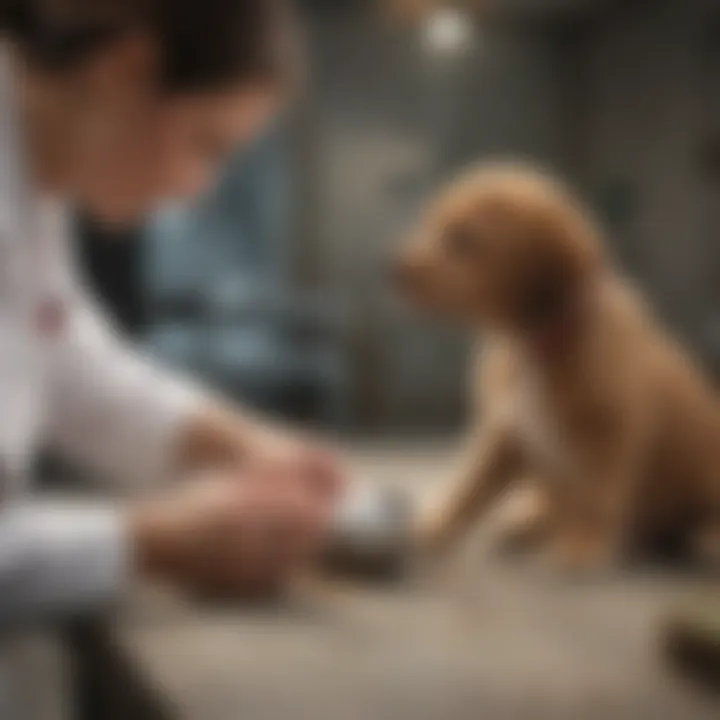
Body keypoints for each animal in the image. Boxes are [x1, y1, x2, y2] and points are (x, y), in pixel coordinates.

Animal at [400, 163, 720, 572]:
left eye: (464, 240)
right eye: (431, 224)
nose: (394, 269)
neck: (533, 345)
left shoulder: (608, 434)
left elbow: (596, 498)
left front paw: (582, 549)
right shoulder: (507, 431)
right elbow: (468, 487)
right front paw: (431, 530)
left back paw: (708, 539)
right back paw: (526, 523)